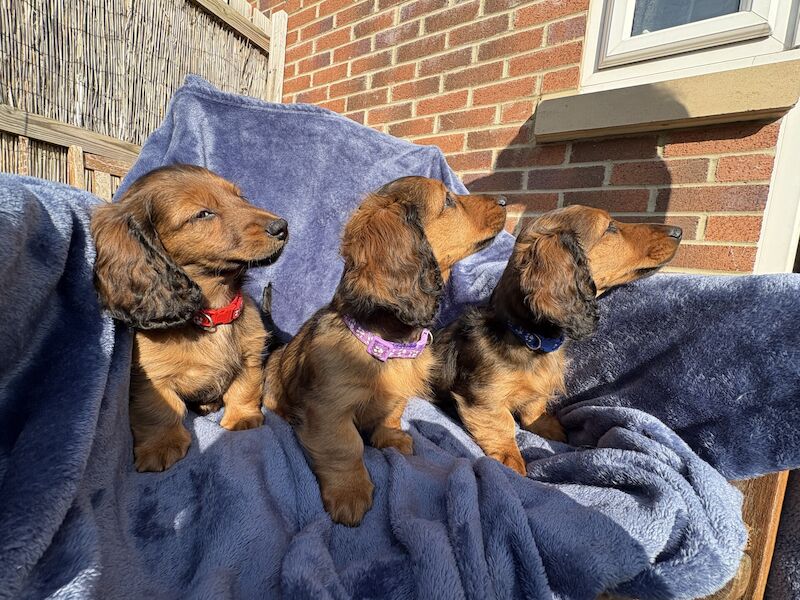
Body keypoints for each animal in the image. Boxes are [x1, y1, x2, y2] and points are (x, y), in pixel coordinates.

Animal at [92, 164, 290, 474]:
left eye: (240, 197)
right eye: (203, 214)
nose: (282, 227)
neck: (214, 313)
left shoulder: (251, 356)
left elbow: (245, 387)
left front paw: (243, 419)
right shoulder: (150, 376)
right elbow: (158, 408)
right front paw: (162, 444)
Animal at [268, 176, 506, 524]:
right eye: (448, 201)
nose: (505, 201)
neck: (385, 344)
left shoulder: (396, 394)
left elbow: (391, 413)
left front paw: (390, 437)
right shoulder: (328, 407)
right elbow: (344, 446)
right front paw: (349, 491)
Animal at [432, 207, 680, 478]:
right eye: (610, 228)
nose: (678, 231)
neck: (528, 339)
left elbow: (533, 407)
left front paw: (547, 425)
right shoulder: (483, 396)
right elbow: (502, 425)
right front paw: (511, 459)